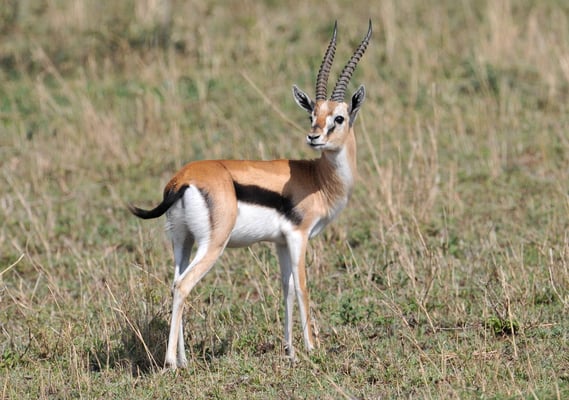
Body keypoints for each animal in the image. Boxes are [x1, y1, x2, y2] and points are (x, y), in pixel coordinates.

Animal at [128, 21, 372, 369]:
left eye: (337, 118)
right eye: (312, 116)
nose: (313, 137)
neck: (318, 179)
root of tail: (183, 179)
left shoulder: (280, 243)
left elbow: (285, 290)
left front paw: (291, 351)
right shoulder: (298, 236)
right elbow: (302, 288)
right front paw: (313, 349)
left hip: (182, 242)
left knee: (175, 282)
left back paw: (185, 359)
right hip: (213, 244)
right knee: (183, 284)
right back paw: (172, 363)